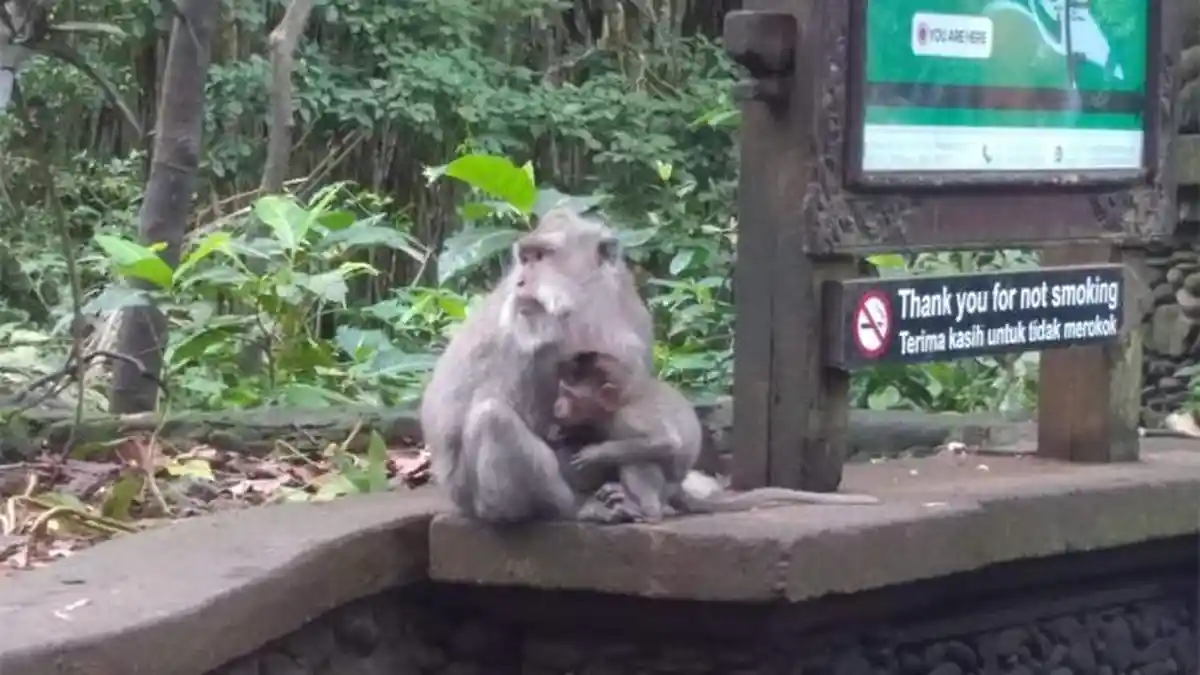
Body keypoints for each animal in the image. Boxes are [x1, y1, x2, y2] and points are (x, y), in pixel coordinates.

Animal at [419, 206, 656, 526]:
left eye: (541, 256)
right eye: (525, 258)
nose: (520, 282)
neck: (587, 307)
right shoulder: (530, 345)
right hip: (476, 496)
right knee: (492, 419)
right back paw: (573, 508)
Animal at [552, 351, 882, 523]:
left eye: (570, 395)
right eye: (562, 390)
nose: (557, 406)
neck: (620, 401)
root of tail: (676, 490)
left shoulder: (631, 416)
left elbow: (664, 443)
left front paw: (596, 452)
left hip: (664, 487)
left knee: (642, 462)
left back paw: (645, 511)